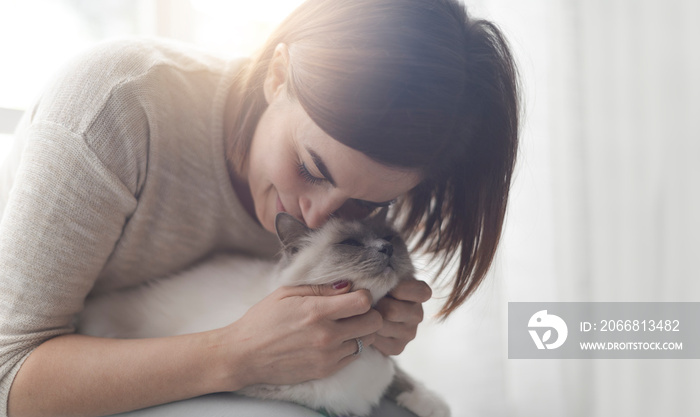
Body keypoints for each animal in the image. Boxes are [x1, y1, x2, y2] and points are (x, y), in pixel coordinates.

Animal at [76, 211, 448, 416]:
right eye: (351, 244)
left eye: (389, 238)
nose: (386, 249)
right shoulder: (257, 380)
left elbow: (400, 377)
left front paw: (432, 404)